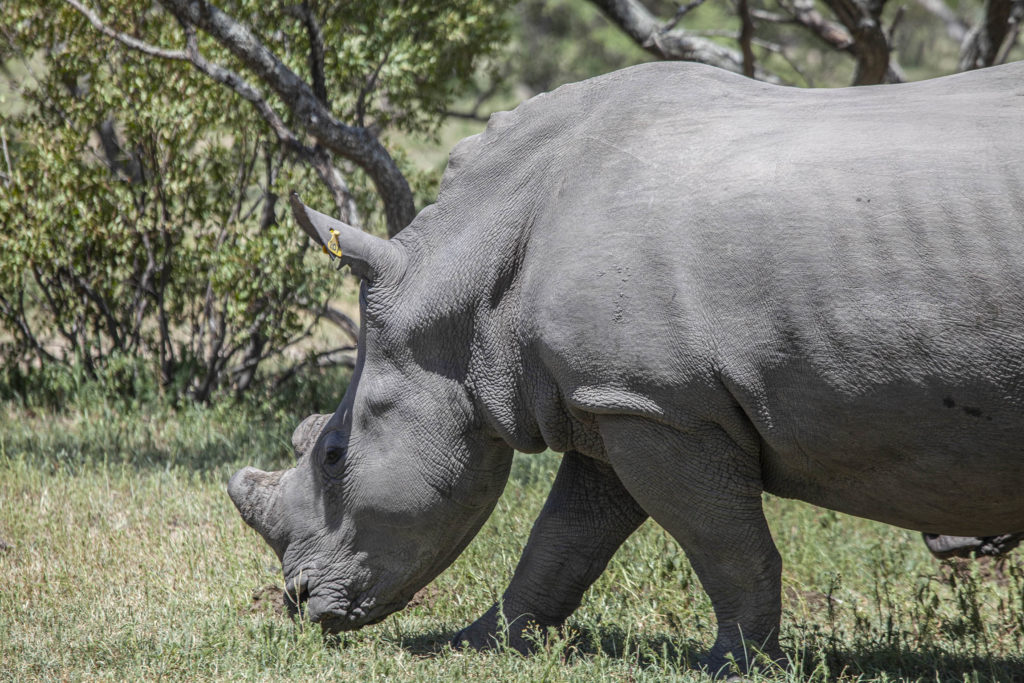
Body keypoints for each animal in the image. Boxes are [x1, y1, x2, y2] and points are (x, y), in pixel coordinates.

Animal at [228, 61, 1024, 675]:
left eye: (333, 456)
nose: (301, 603)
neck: (462, 285)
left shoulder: (661, 404)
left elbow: (724, 546)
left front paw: (732, 666)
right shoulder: (609, 398)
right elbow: (564, 538)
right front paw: (484, 643)